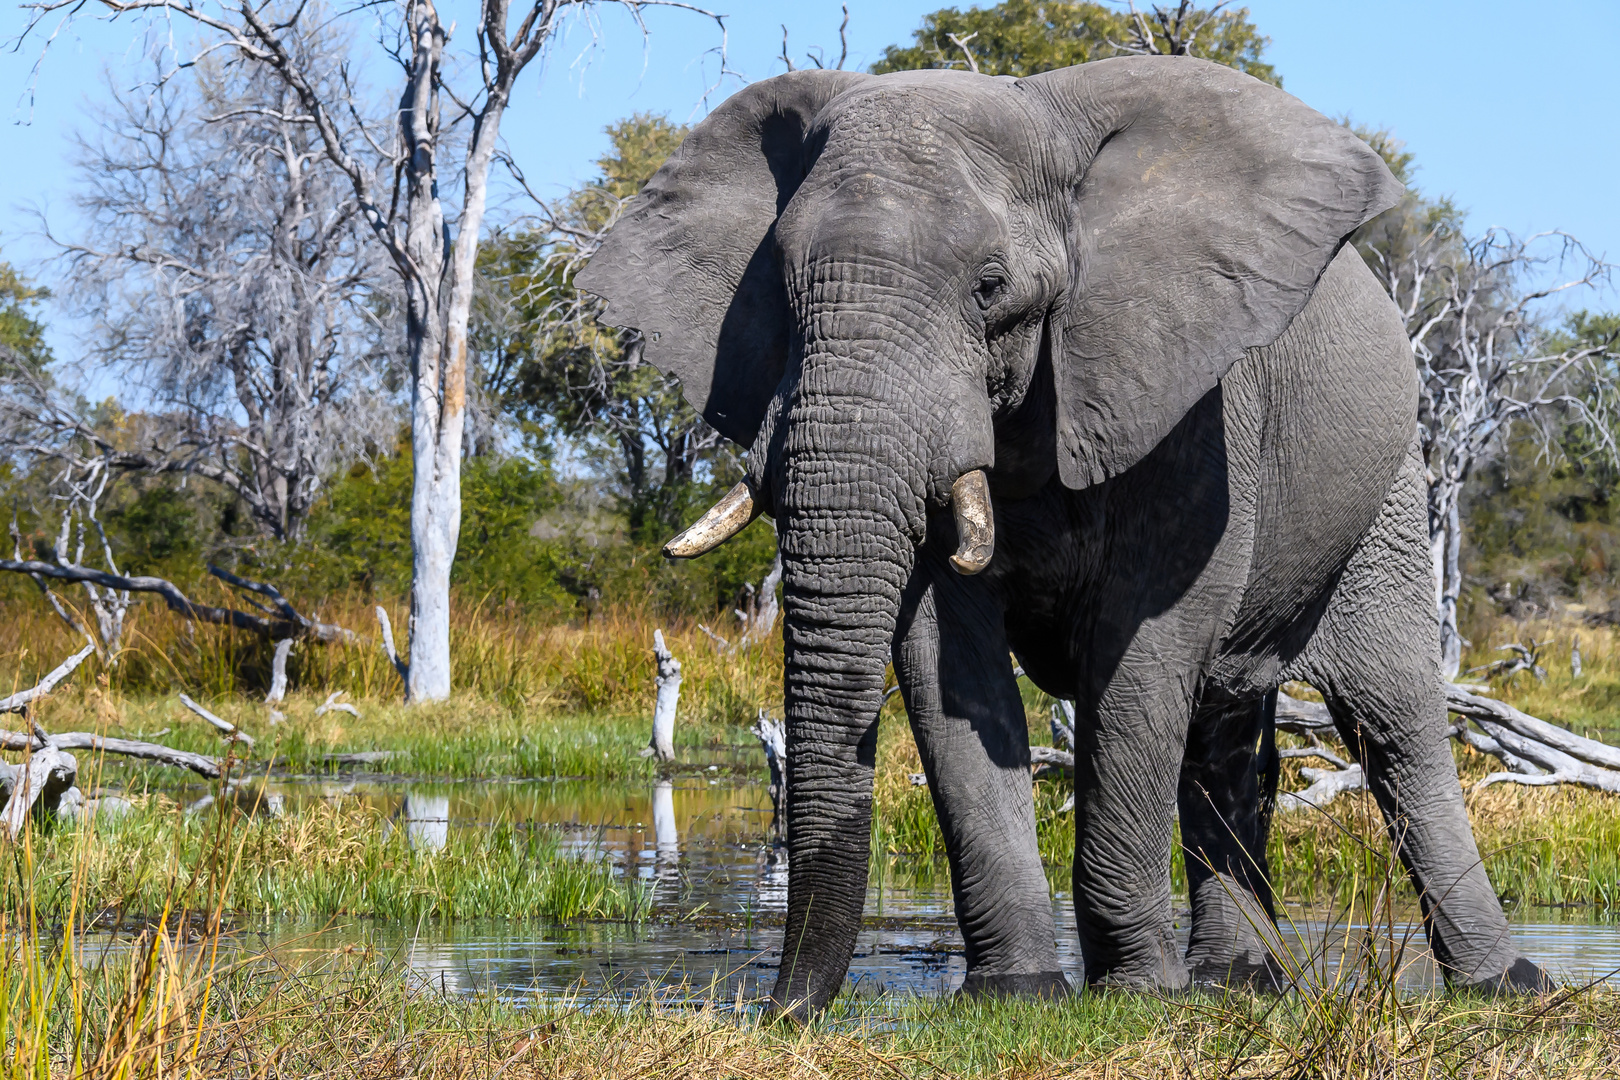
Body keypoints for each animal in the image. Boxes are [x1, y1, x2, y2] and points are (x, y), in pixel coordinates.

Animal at [576, 55, 1548, 1016]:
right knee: (1228, 732)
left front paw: (1137, 998)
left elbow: (1140, 655)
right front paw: (1020, 995)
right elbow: (943, 659)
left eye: (990, 287)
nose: (781, 1010)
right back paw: (1240, 983)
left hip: (1391, 487)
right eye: (779, 285)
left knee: (1394, 721)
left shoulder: (1193, 407)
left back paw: (1503, 984)